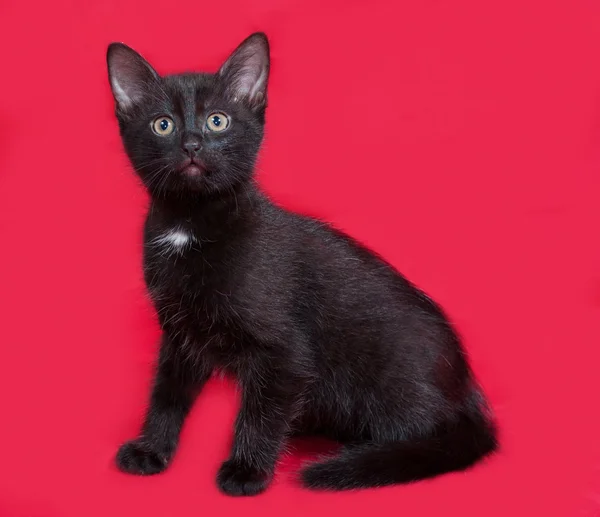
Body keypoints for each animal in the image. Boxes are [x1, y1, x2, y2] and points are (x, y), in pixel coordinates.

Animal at [106, 33, 496, 496]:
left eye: (218, 121)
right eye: (162, 125)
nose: (192, 144)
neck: (190, 223)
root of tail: (468, 393)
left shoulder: (285, 354)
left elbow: (260, 413)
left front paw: (247, 471)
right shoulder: (181, 335)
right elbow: (166, 394)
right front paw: (152, 450)